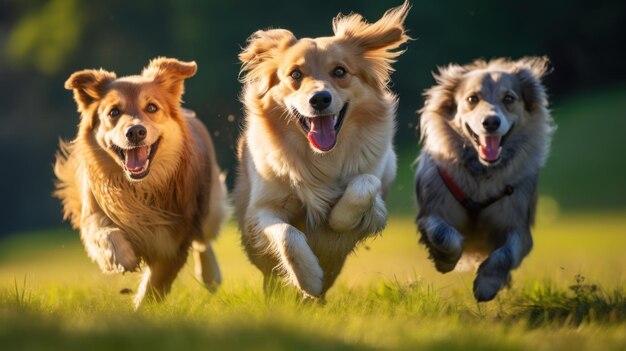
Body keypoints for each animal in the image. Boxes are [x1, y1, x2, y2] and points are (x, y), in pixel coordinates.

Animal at [54, 57, 228, 308]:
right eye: (114, 112)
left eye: (152, 108)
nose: (135, 131)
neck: (139, 188)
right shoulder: (93, 211)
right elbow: (103, 233)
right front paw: (123, 257)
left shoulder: (173, 241)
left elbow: (155, 285)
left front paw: (142, 308)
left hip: (210, 208)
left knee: (204, 238)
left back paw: (210, 275)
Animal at [234, 2, 410, 300]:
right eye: (295, 74)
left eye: (339, 72)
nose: (319, 99)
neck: (322, 157)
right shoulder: (261, 210)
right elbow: (288, 235)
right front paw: (309, 279)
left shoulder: (378, 204)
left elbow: (365, 184)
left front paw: (338, 219)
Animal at [412, 57, 552, 302]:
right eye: (472, 99)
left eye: (509, 99)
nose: (491, 122)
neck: (483, 172)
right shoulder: (431, 211)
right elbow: (443, 235)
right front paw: (445, 261)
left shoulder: (520, 226)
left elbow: (506, 254)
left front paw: (487, 284)